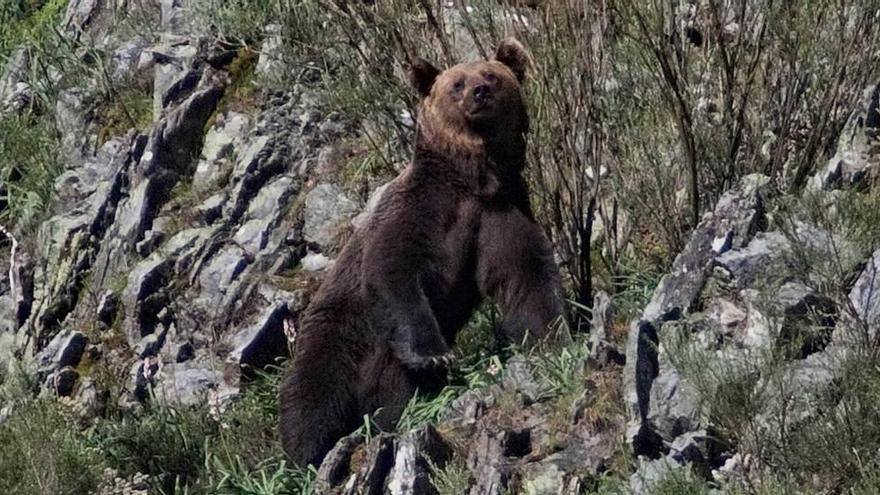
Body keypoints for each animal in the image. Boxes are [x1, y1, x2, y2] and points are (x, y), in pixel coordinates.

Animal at [284, 39, 572, 468]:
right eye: (456, 83)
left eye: (491, 75)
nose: (479, 92)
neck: (472, 179)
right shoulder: (420, 210)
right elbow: (394, 270)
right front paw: (433, 354)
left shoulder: (499, 212)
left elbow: (525, 272)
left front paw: (555, 332)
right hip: (338, 335)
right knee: (313, 395)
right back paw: (306, 454)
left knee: (390, 398)